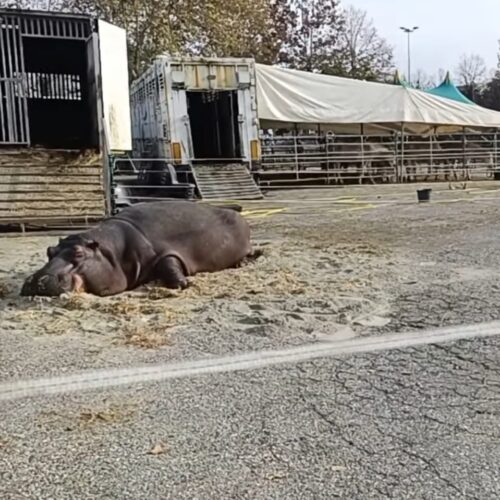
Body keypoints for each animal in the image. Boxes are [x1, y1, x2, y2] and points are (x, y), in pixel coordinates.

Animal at [21, 201, 252, 296]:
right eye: (49, 251)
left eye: (79, 253)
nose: (36, 280)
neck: (110, 252)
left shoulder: (162, 252)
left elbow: (169, 263)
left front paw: (183, 284)